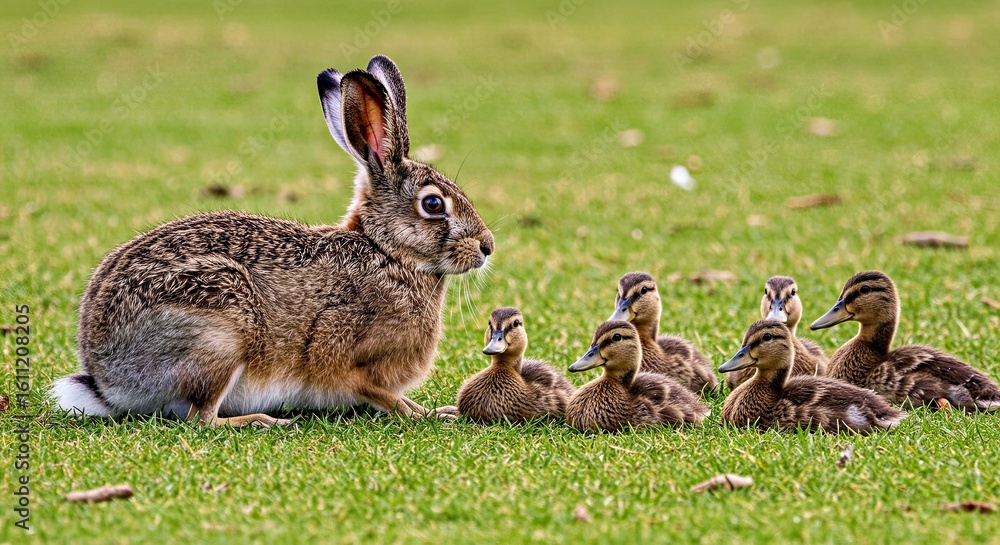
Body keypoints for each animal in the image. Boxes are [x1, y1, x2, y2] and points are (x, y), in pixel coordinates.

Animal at [51, 55, 495, 427]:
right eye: (434, 204)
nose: (487, 246)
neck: (388, 252)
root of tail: (106, 381)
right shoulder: (349, 362)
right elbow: (380, 393)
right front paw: (426, 414)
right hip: (220, 330)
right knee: (201, 419)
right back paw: (261, 421)